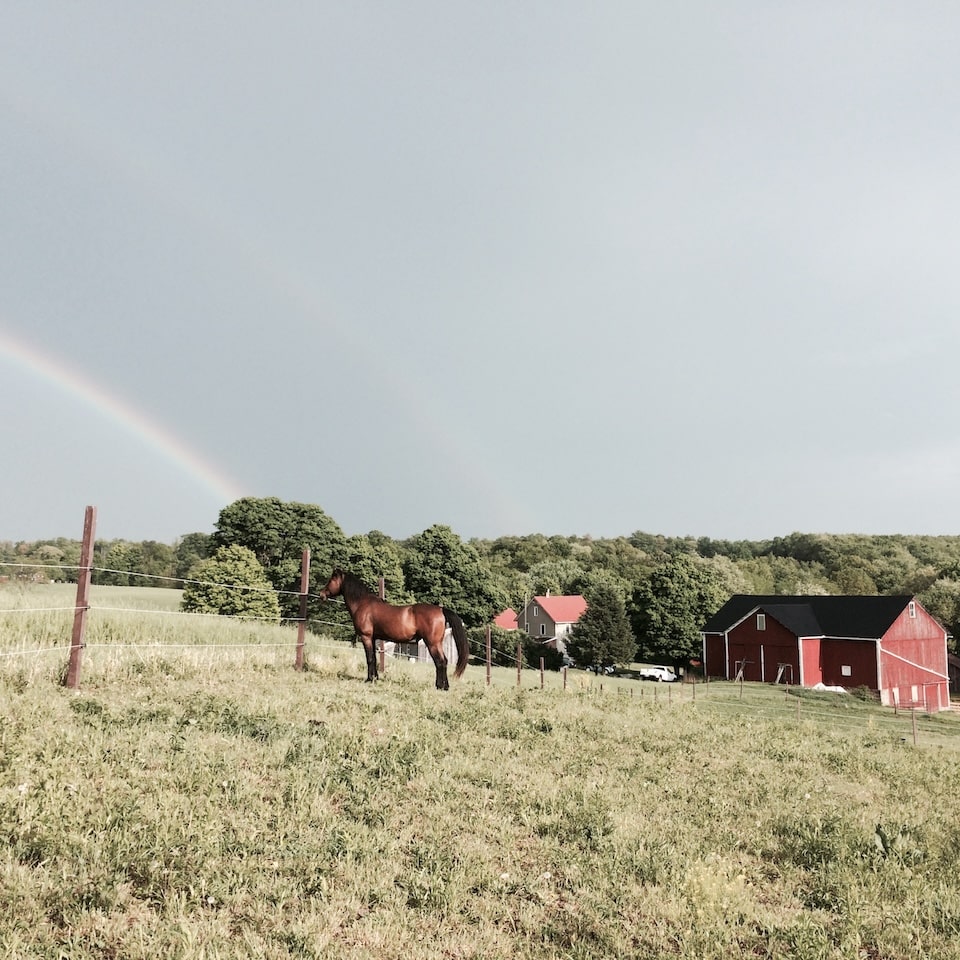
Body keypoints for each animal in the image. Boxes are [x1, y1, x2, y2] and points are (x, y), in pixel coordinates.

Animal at [318, 569, 469, 690]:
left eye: (331, 580)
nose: (321, 594)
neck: (362, 604)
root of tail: (440, 609)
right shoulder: (373, 638)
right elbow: (374, 658)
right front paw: (375, 678)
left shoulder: (366, 637)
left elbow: (370, 658)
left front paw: (369, 679)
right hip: (436, 643)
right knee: (444, 661)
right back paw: (445, 686)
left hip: (432, 643)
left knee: (440, 662)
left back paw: (439, 686)